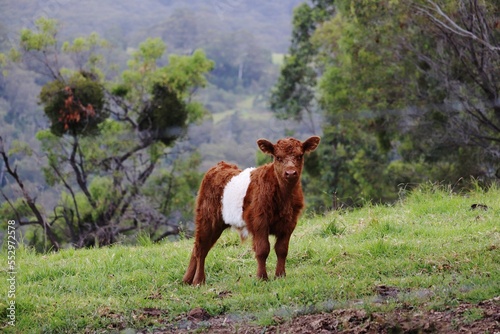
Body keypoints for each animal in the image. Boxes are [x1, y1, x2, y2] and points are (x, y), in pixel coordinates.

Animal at [183, 136, 320, 284]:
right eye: (278, 157)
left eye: (300, 155)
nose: (290, 173)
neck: (284, 196)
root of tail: (219, 166)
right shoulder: (259, 221)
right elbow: (263, 249)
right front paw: (262, 277)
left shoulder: (289, 223)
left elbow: (282, 249)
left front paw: (280, 275)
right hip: (207, 218)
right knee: (201, 248)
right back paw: (198, 281)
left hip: (218, 224)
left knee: (198, 247)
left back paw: (187, 280)